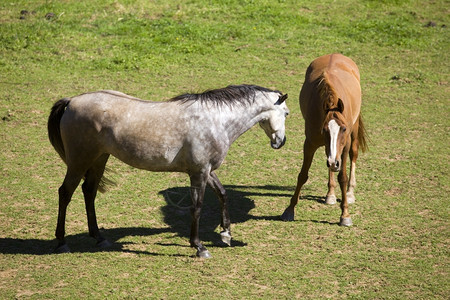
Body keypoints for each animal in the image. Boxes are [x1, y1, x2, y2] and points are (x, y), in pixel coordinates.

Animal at [48, 85, 288, 258]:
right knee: (65, 193)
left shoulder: (206, 171)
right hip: (79, 161)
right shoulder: (199, 173)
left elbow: (222, 194)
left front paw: (225, 234)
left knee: (89, 192)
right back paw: (61, 242)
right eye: (286, 113)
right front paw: (199, 247)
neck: (215, 120)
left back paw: (99, 237)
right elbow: (197, 207)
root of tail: (72, 101)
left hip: (99, 159)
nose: (281, 141)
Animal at [284, 54, 368, 226]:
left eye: (343, 129)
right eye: (324, 130)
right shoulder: (310, 143)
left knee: (353, 155)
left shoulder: (344, 145)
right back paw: (330, 193)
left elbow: (343, 177)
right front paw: (289, 210)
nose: (334, 162)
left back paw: (350, 192)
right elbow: (303, 175)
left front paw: (345, 215)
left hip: (354, 131)